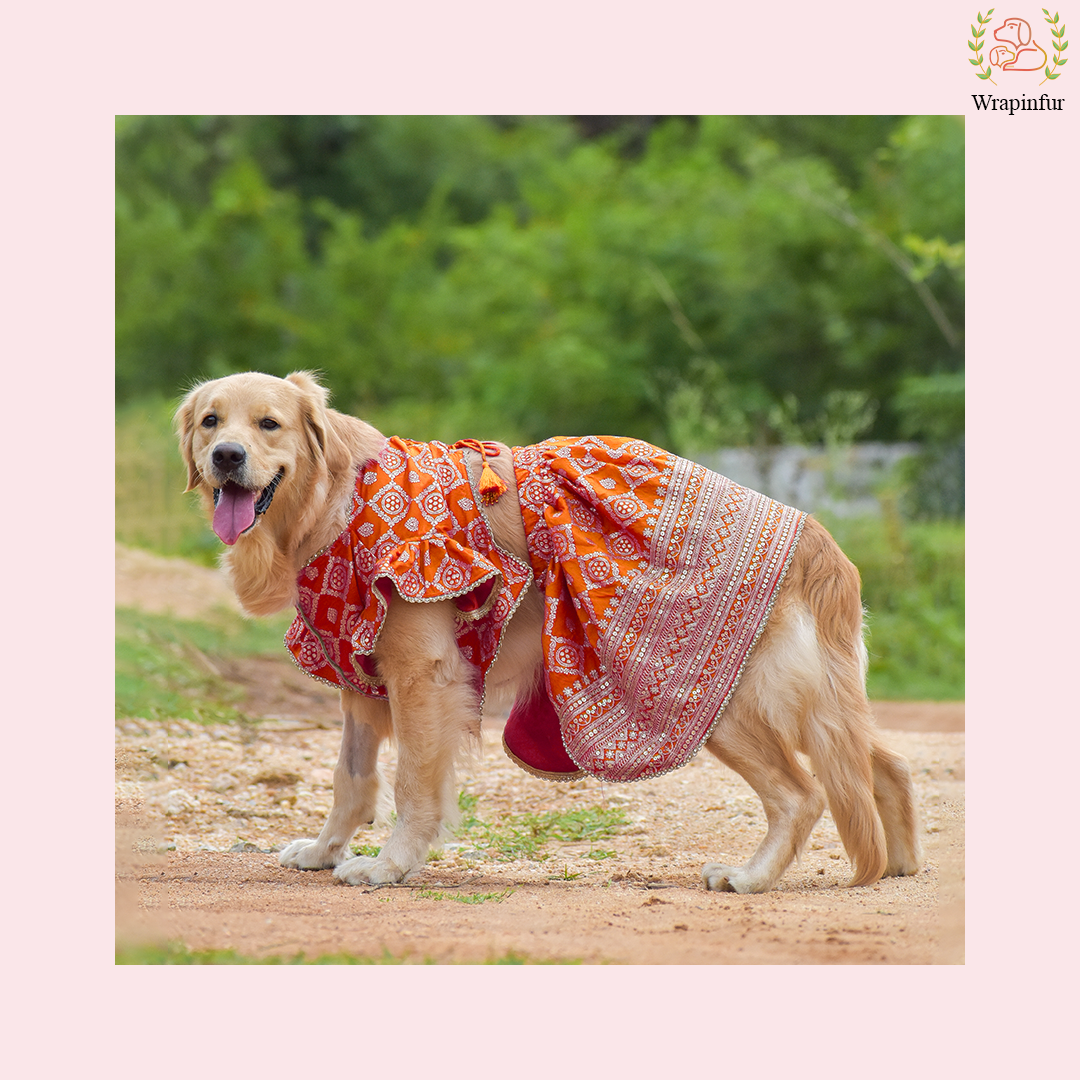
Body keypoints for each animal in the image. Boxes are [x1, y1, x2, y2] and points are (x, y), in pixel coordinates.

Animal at [174, 371, 920, 894]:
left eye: (269, 424)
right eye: (211, 420)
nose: (227, 456)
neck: (336, 499)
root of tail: (812, 531)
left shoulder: (425, 675)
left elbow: (412, 784)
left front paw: (389, 866)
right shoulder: (361, 680)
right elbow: (350, 779)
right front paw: (325, 851)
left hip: (711, 697)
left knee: (805, 792)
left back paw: (751, 877)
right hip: (809, 698)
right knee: (882, 764)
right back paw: (899, 865)